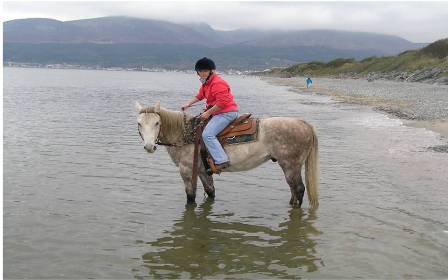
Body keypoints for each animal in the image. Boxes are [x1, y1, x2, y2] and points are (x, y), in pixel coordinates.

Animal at [136, 102, 318, 208]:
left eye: (157, 123)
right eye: (139, 123)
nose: (149, 146)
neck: (186, 134)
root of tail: (304, 124)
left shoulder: (187, 171)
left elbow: (190, 196)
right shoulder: (202, 171)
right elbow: (210, 192)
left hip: (290, 165)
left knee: (299, 189)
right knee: (293, 189)